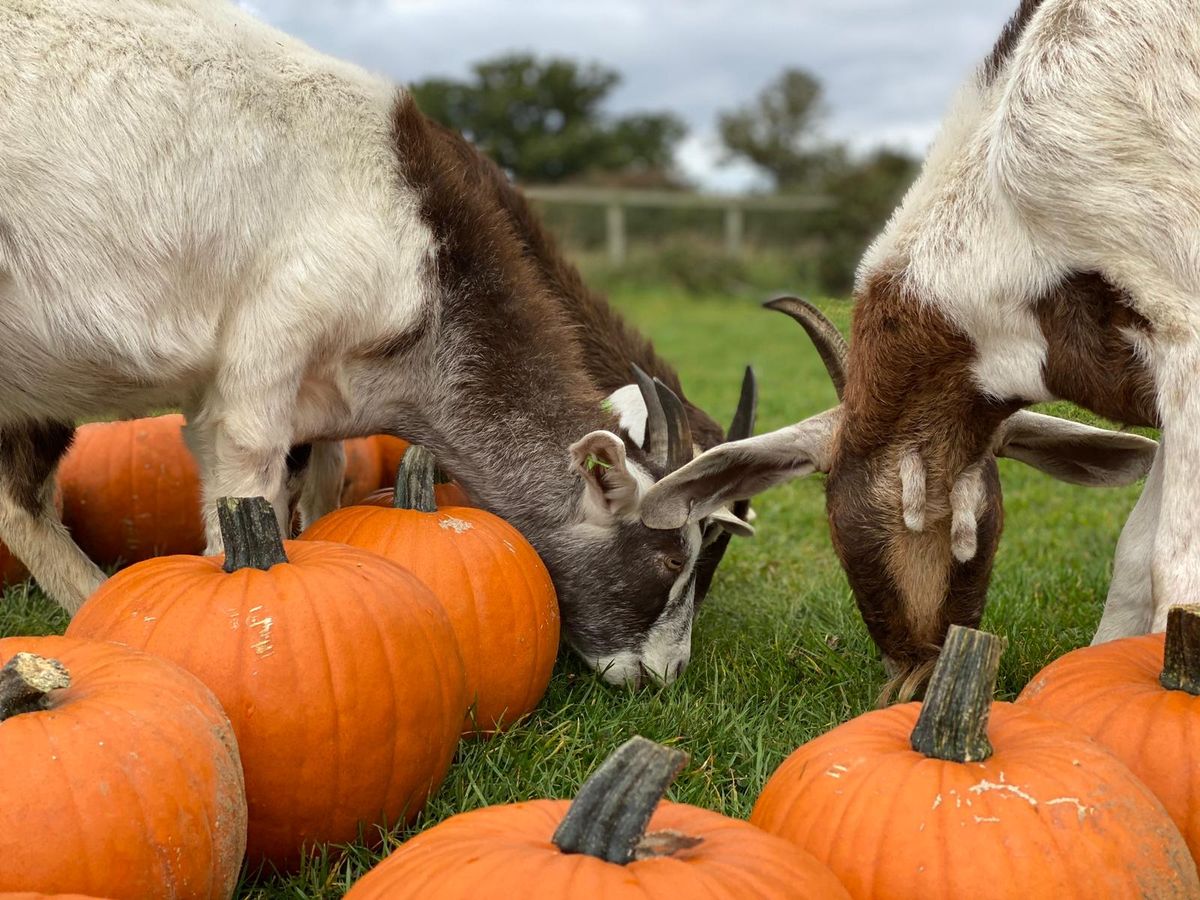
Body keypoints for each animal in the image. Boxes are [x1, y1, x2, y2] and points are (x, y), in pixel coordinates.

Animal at [0, 0, 748, 691]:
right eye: (670, 559)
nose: (665, 672)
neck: (423, 239)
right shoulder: (264, 364)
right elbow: (245, 494)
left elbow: (324, 485)